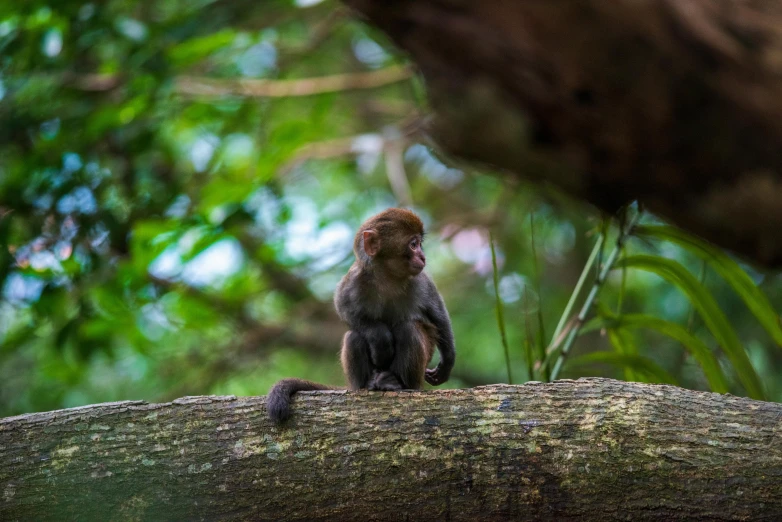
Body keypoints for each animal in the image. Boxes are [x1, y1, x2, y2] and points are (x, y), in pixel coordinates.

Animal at [266, 205, 456, 420]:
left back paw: (398, 384)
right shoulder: (355, 279)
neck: (388, 277)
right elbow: (344, 309)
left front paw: (447, 362)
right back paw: (368, 384)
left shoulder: (421, 281)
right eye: (414, 244)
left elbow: (438, 315)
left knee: (409, 330)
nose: (422, 257)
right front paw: (379, 337)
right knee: (354, 336)